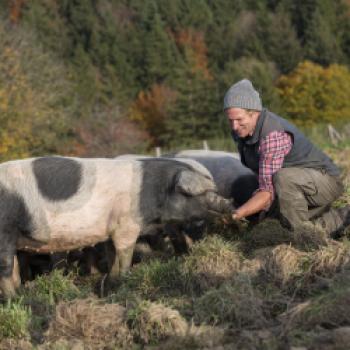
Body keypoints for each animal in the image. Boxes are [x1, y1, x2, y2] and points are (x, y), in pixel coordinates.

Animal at [0, 157, 235, 296]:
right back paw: (13, 299)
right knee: (6, 270)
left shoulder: (110, 229)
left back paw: (22, 295)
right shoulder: (127, 225)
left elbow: (112, 254)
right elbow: (124, 254)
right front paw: (125, 280)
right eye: (199, 193)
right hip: (5, 231)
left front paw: (110, 283)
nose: (230, 203)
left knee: (13, 271)